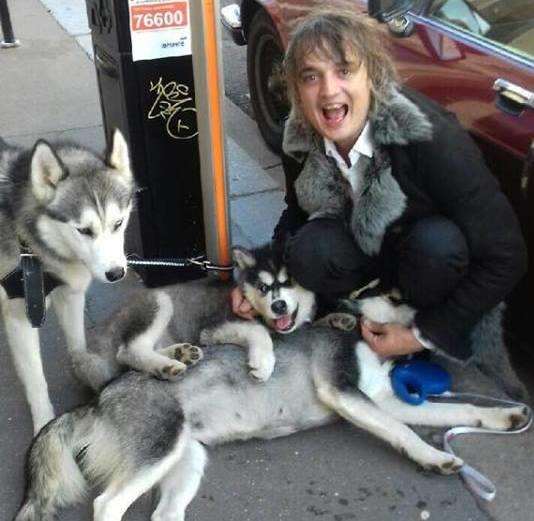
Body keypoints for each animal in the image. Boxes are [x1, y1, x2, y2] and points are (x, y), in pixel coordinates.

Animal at [0, 132, 134, 432]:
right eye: (84, 230)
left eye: (118, 223)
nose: (116, 273)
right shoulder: (21, 315)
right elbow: (36, 380)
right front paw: (43, 424)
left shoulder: (71, 295)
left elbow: (77, 346)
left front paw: (87, 372)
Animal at [14, 312, 528, 520]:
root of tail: (97, 398)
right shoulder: (344, 392)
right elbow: (404, 430)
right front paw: (433, 458)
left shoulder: (382, 399)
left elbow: (457, 408)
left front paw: (507, 418)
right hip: (159, 445)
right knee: (107, 506)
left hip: (184, 459)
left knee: (163, 512)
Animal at [75, 242, 318, 388]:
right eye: (263, 288)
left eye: (289, 281)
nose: (278, 306)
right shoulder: (212, 328)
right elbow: (259, 331)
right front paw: (263, 363)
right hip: (160, 301)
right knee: (129, 351)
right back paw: (167, 366)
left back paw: (180, 353)